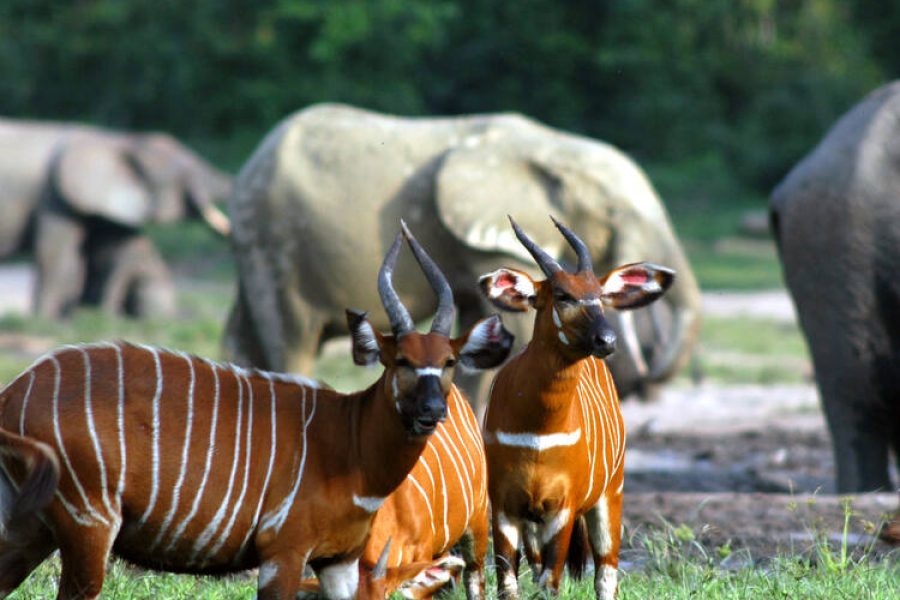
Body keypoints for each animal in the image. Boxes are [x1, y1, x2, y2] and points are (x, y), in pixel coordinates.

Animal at [225, 103, 704, 404]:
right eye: (615, 214)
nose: (643, 379)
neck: (552, 147)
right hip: (274, 244)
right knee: (291, 340)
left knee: (245, 338)